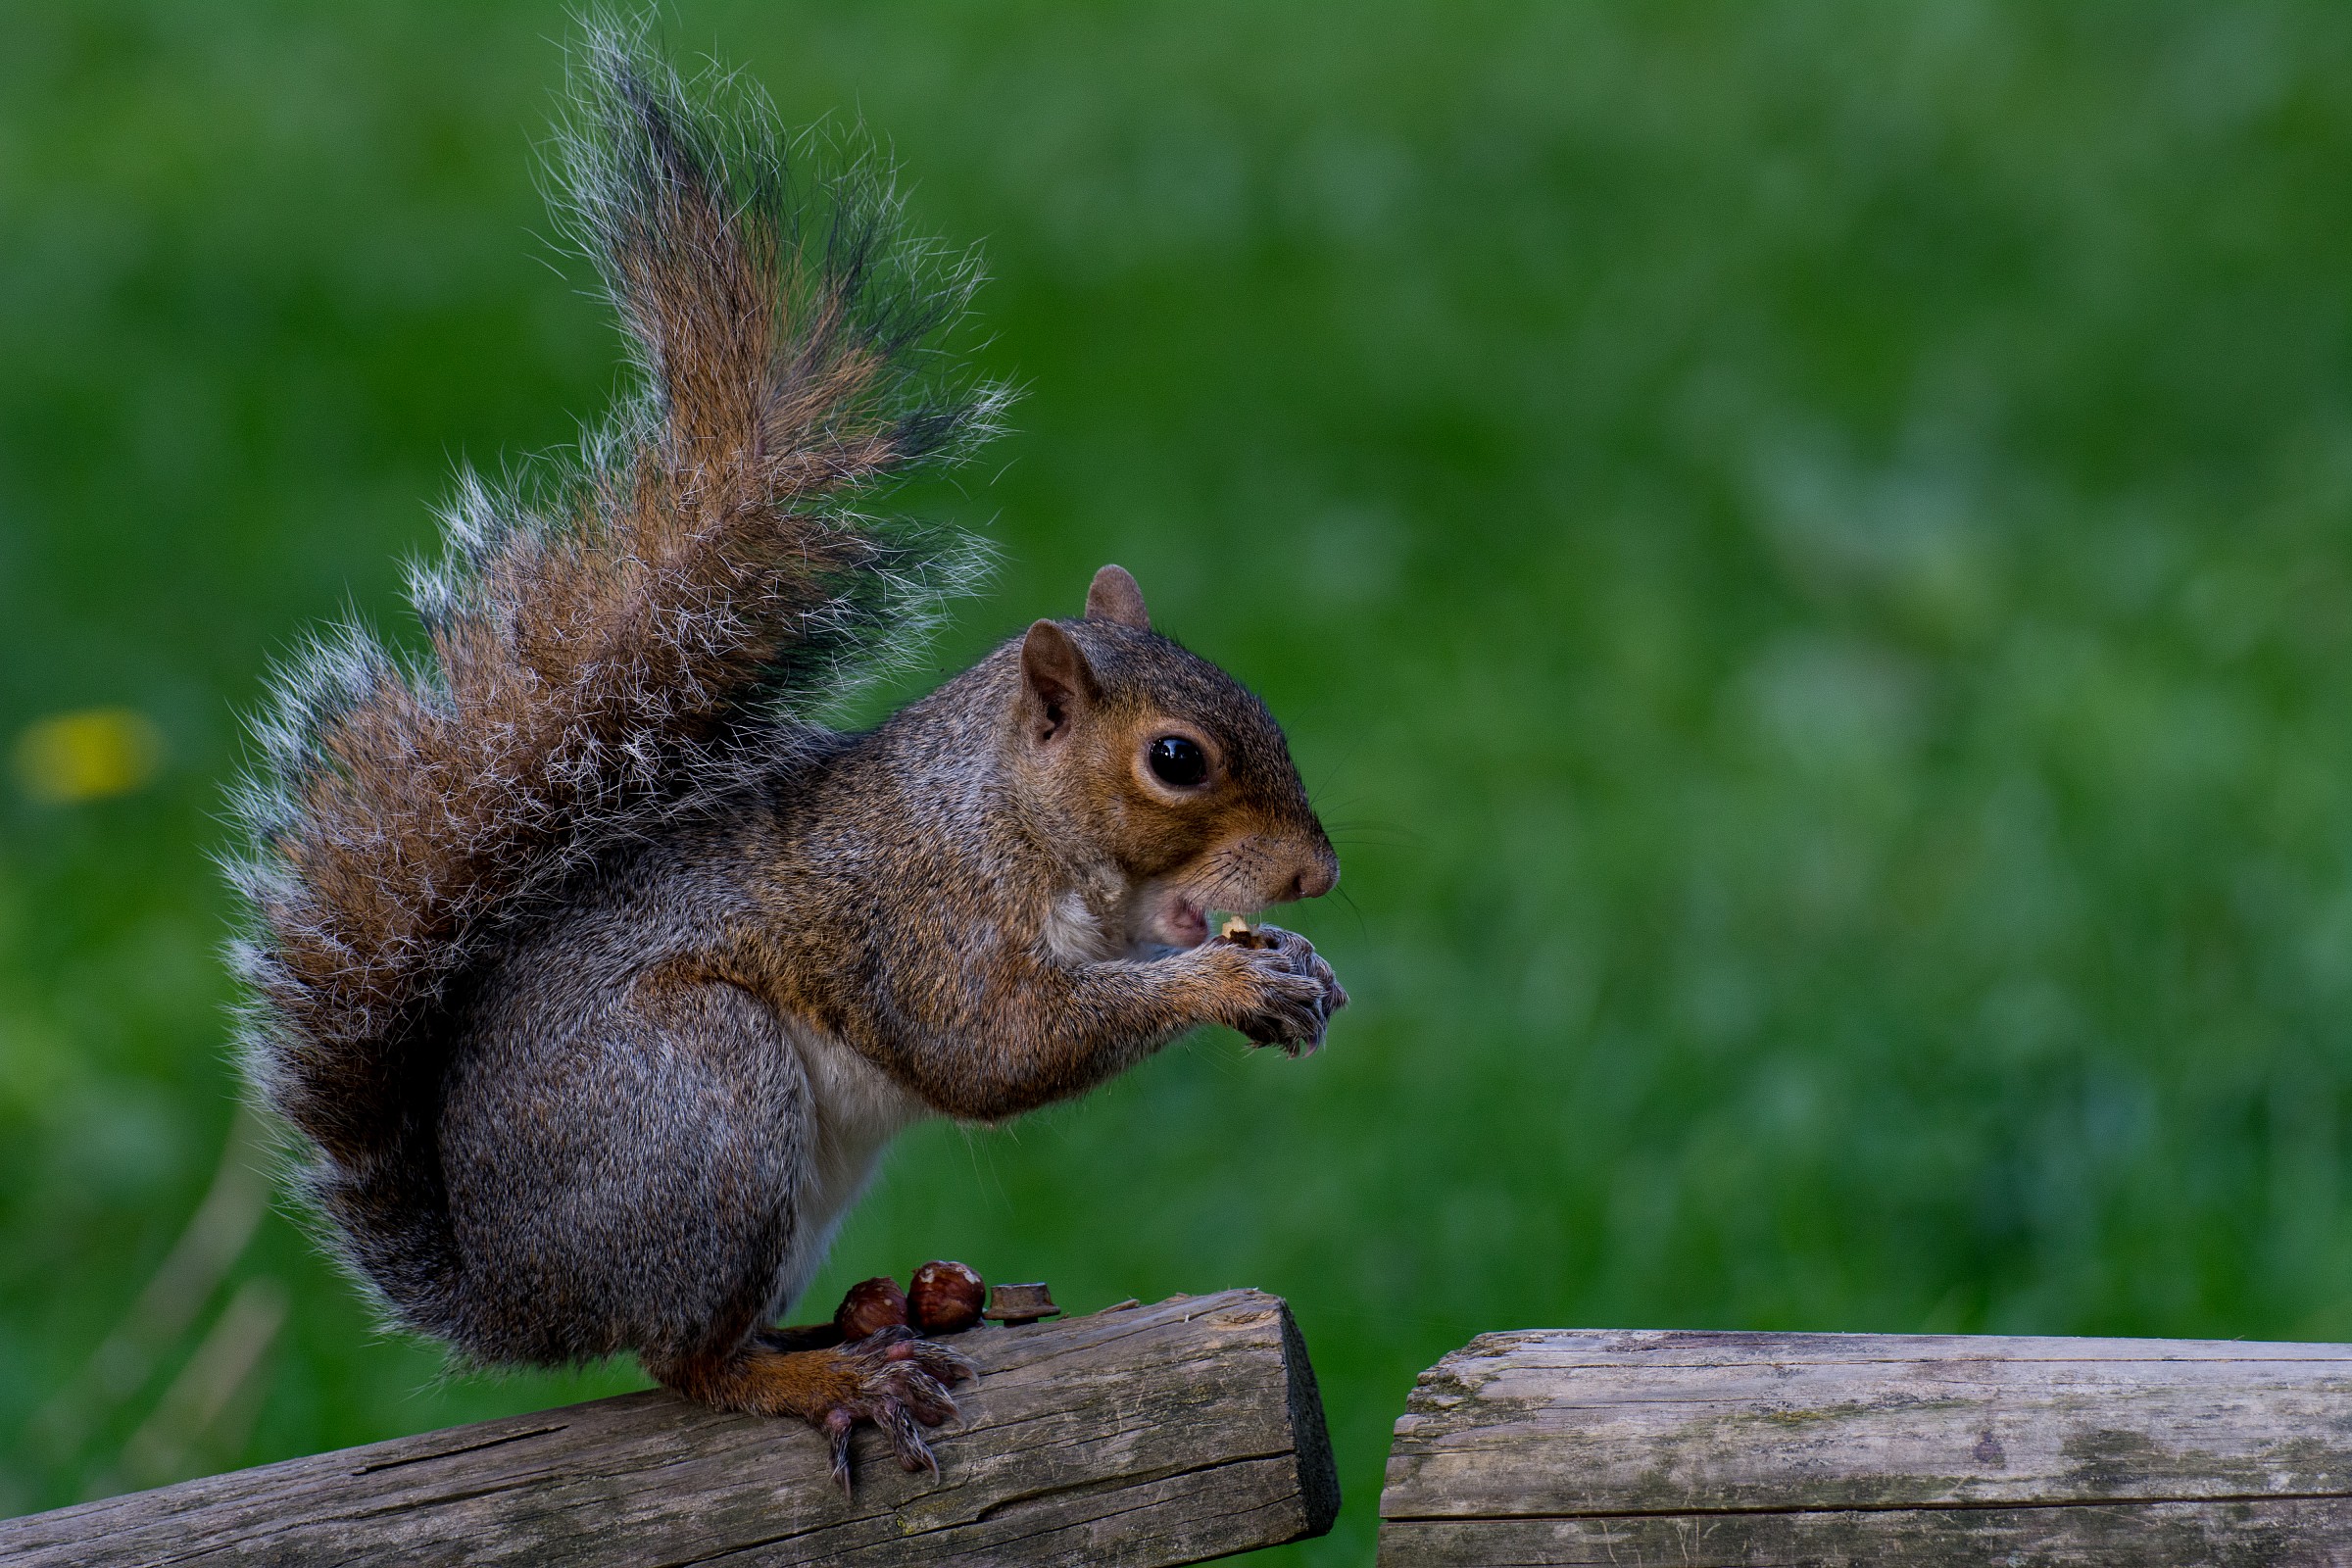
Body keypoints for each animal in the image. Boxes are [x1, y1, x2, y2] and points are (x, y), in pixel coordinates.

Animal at [227, 25, 1346, 1492]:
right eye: (1176, 758)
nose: (1319, 875)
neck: (1008, 816)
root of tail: (511, 1290)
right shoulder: (921, 914)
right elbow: (992, 1050)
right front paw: (1226, 979)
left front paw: (1292, 969)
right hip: (700, 1107)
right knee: (683, 1362)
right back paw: (824, 1376)